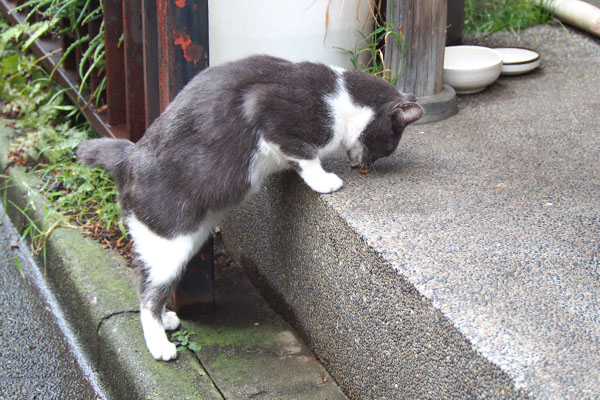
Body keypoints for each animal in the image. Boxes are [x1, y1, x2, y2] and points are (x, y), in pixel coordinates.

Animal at [77, 54, 424, 360]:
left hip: (187, 241)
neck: (341, 98)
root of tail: (127, 158)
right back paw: (158, 343)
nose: (367, 164)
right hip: (168, 242)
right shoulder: (270, 110)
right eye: (389, 143)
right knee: (147, 294)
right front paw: (324, 180)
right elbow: (305, 153)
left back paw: (167, 320)